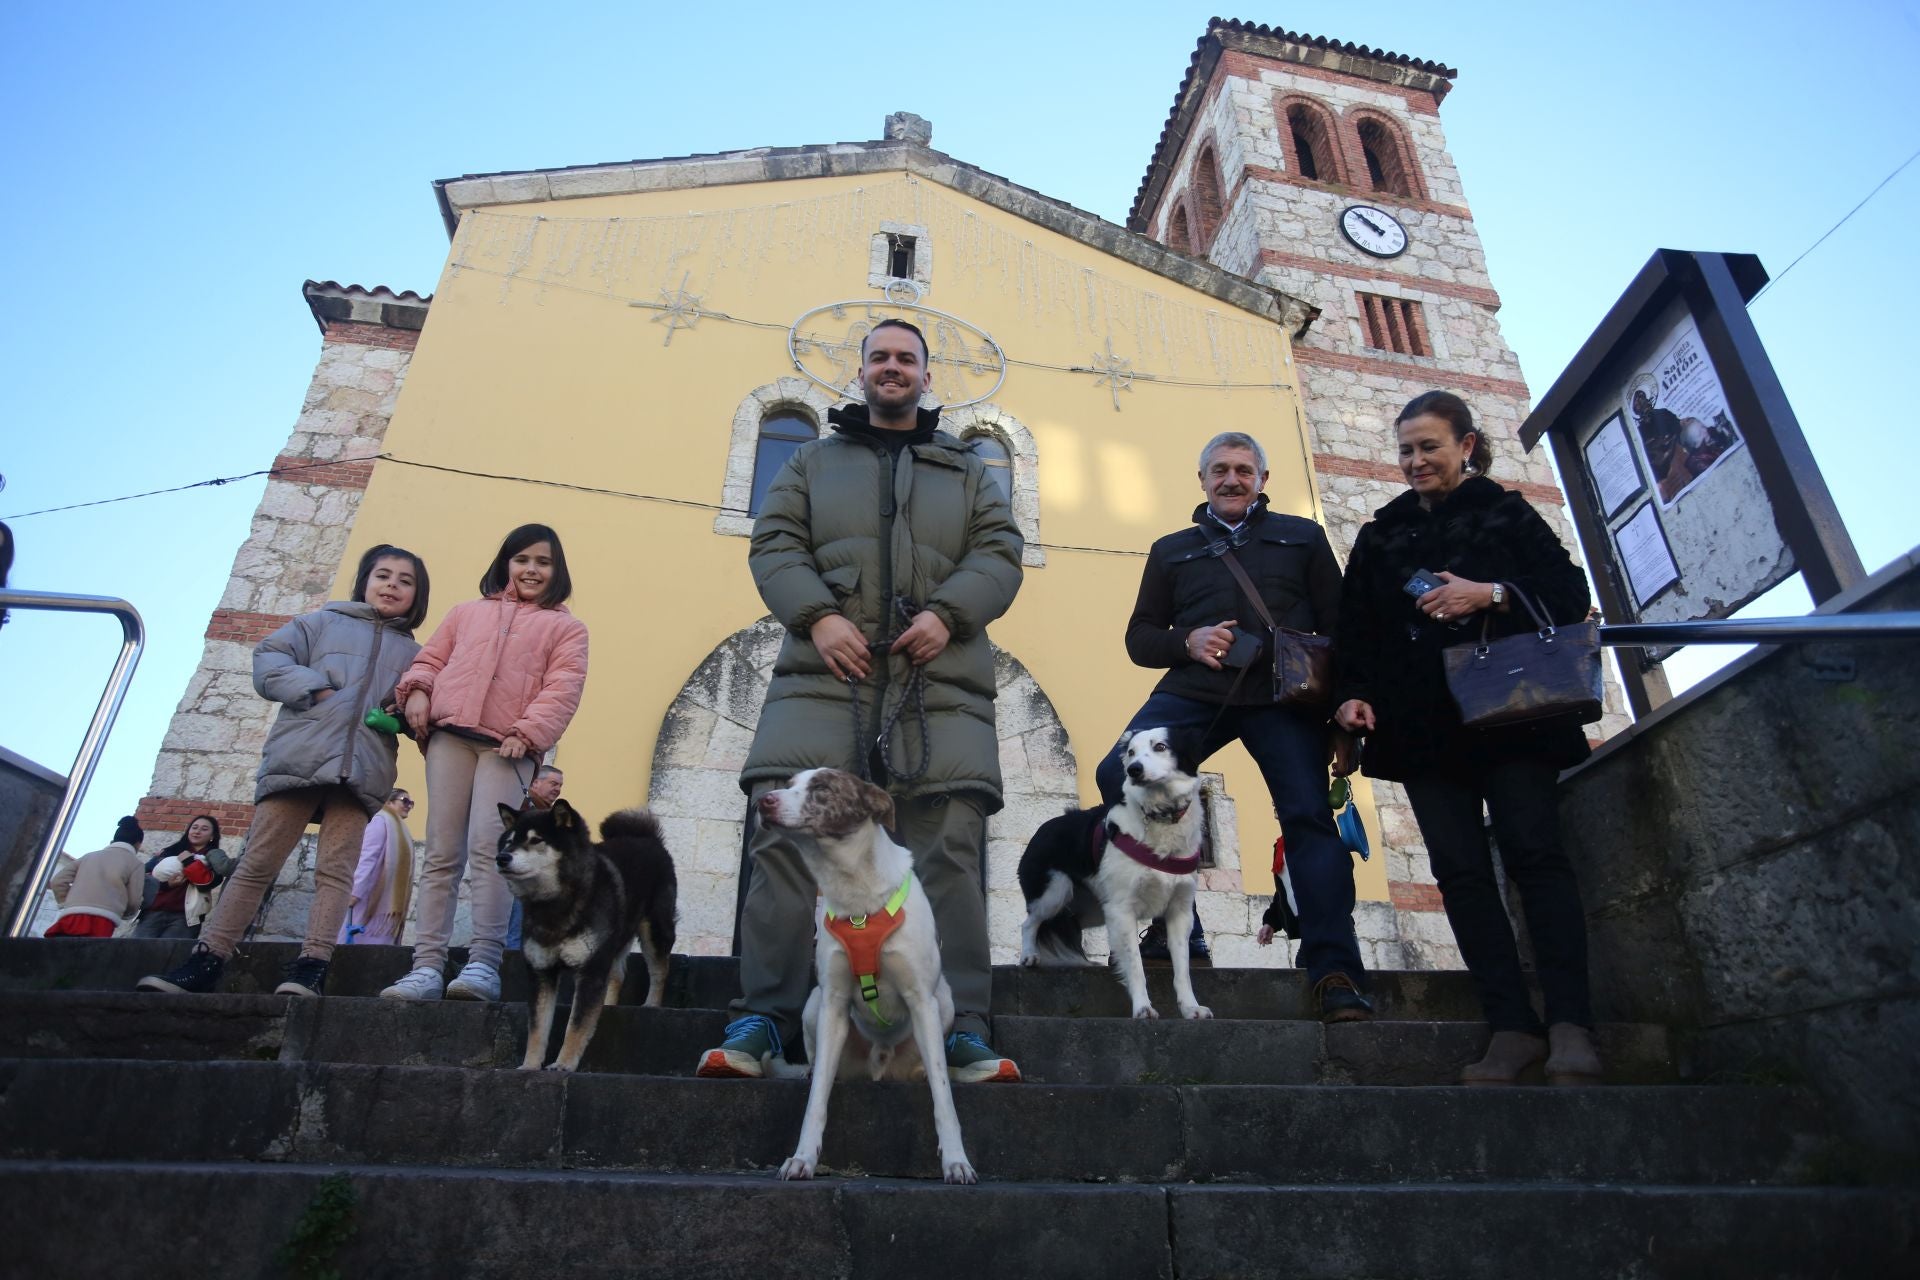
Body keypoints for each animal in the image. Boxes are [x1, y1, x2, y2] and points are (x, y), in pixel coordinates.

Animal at [491, 805, 679, 1074]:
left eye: (536, 840)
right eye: (508, 842)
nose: (502, 858)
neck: (553, 906)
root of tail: (648, 838)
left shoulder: (590, 970)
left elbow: (576, 1025)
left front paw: (563, 1064)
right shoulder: (541, 972)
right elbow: (537, 1029)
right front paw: (530, 1065)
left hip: (654, 930)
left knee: (659, 971)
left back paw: (652, 1004)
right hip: (616, 938)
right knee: (617, 974)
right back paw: (609, 1005)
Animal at [756, 767, 975, 1189]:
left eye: (823, 788)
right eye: (788, 784)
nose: (763, 801)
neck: (856, 895)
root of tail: (880, 1067)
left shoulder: (922, 999)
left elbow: (943, 1099)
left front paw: (957, 1161)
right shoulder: (833, 1002)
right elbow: (816, 1102)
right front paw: (803, 1158)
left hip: (944, 1001)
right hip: (814, 1007)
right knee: (820, 1068)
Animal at [1013, 729, 1205, 1020]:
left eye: (1161, 747)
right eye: (1131, 752)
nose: (1133, 770)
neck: (1160, 817)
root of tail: (1042, 827)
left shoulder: (1180, 911)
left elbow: (1182, 969)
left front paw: (1190, 1007)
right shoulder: (1121, 909)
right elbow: (1135, 965)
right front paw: (1142, 1007)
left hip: (1093, 910)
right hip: (1055, 893)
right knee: (1029, 923)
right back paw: (1029, 955)